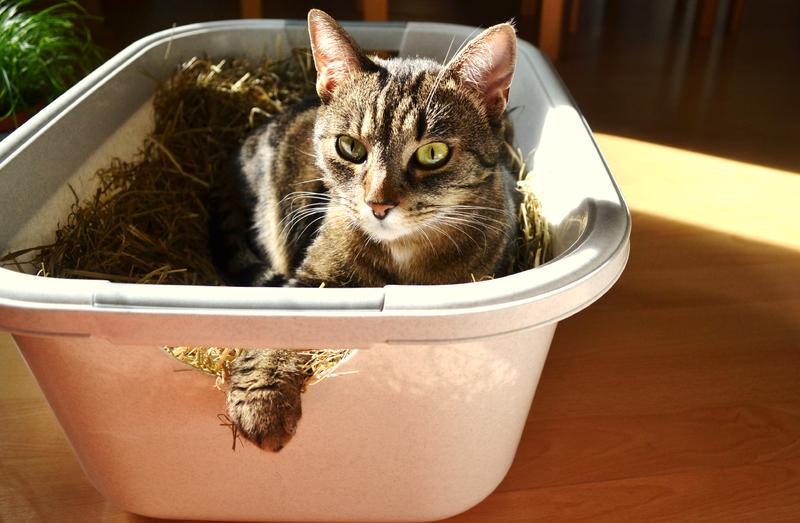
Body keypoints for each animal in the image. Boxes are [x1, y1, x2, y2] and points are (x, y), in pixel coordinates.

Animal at [210, 9, 519, 451]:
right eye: (350, 147)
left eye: (433, 153)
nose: (377, 204)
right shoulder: (311, 279)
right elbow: (280, 321)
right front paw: (263, 399)